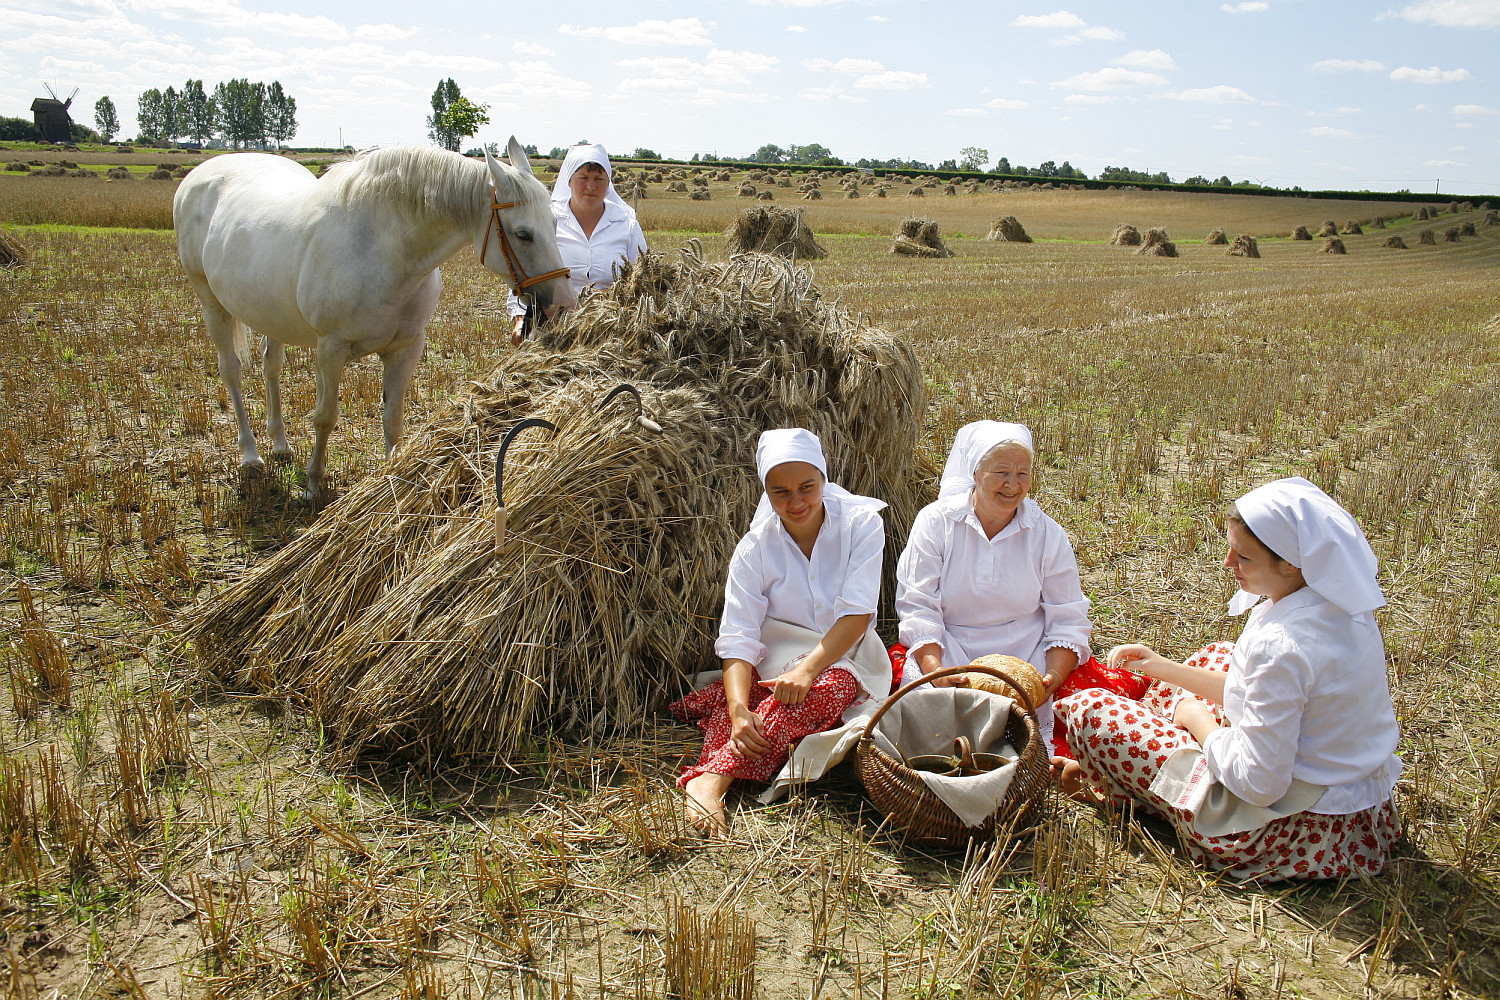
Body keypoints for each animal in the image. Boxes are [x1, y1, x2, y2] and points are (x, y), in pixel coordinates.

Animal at [172, 137, 573, 500]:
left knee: (270, 366)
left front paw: (391, 478)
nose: (563, 304)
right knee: (232, 372)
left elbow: (392, 419)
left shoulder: (405, 349)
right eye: (523, 234)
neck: (383, 250)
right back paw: (251, 455)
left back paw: (280, 444)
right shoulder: (331, 350)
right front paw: (313, 484)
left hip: (271, 315)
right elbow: (325, 417)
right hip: (211, 304)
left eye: (555, 223)